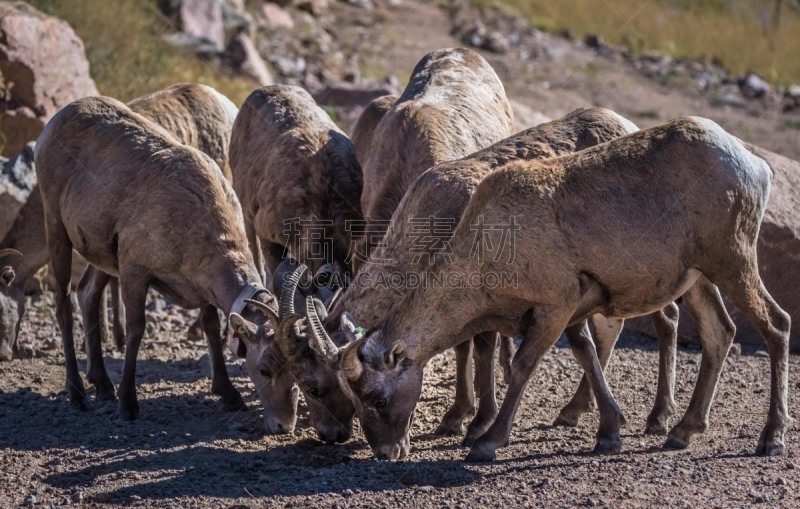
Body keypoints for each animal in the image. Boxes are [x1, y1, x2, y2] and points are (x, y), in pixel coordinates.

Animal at [35, 95, 296, 432]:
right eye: (265, 369)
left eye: (297, 370)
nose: (284, 425)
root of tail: (57, 120)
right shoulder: (135, 271)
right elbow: (136, 330)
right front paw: (127, 405)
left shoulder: (202, 286)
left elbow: (211, 327)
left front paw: (229, 394)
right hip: (56, 228)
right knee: (64, 305)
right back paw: (78, 395)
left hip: (101, 257)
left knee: (88, 294)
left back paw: (103, 386)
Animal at [306, 117, 788, 462]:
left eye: (375, 396)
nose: (386, 453)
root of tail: (754, 165)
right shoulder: (570, 311)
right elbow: (586, 353)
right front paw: (607, 433)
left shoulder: (554, 307)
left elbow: (519, 365)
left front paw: (483, 441)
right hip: (700, 276)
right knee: (718, 333)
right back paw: (681, 432)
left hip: (733, 263)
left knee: (775, 325)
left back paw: (769, 439)